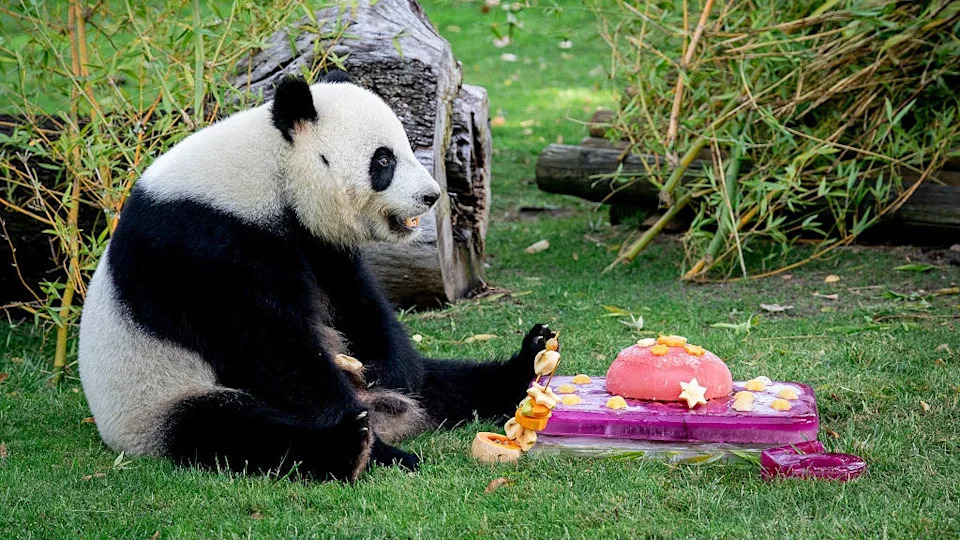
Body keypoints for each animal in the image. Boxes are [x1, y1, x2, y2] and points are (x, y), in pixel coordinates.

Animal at [78, 72, 555, 482]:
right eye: (384, 159)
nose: (431, 196)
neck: (270, 170)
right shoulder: (207, 243)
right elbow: (275, 349)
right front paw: (354, 425)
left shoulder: (317, 240)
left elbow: (358, 302)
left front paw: (386, 368)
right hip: (158, 398)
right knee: (230, 431)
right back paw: (358, 448)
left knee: (443, 381)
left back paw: (525, 365)